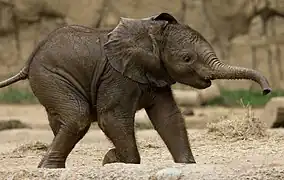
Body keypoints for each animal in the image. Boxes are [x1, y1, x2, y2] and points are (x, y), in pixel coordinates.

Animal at [0, 12, 272, 167]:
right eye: (187, 59)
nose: (266, 91)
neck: (151, 35)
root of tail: (29, 59)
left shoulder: (156, 74)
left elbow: (169, 118)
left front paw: (188, 165)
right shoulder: (117, 76)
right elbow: (112, 118)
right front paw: (112, 160)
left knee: (64, 120)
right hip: (51, 76)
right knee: (77, 117)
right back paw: (49, 168)